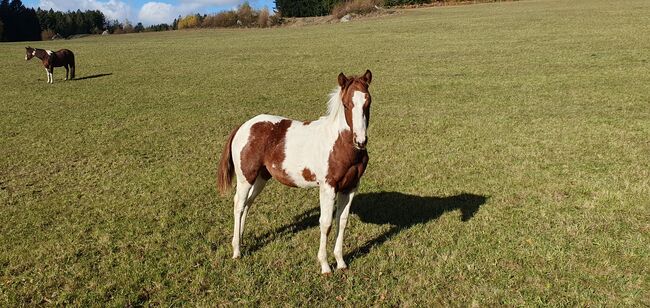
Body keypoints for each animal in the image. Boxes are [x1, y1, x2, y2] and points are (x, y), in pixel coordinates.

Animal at [216, 70, 372, 274]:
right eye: (346, 104)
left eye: (368, 101)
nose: (360, 141)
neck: (339, 144)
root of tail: (243, 126)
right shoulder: (328, 187)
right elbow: (326, 223)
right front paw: (325, 266)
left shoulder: (351, 187)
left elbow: (342, 221)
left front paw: (341, 262)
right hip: (246, 178)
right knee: (239, 205)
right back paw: (237, 251)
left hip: (261, 178)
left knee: (248, 204)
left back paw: (241, 241)